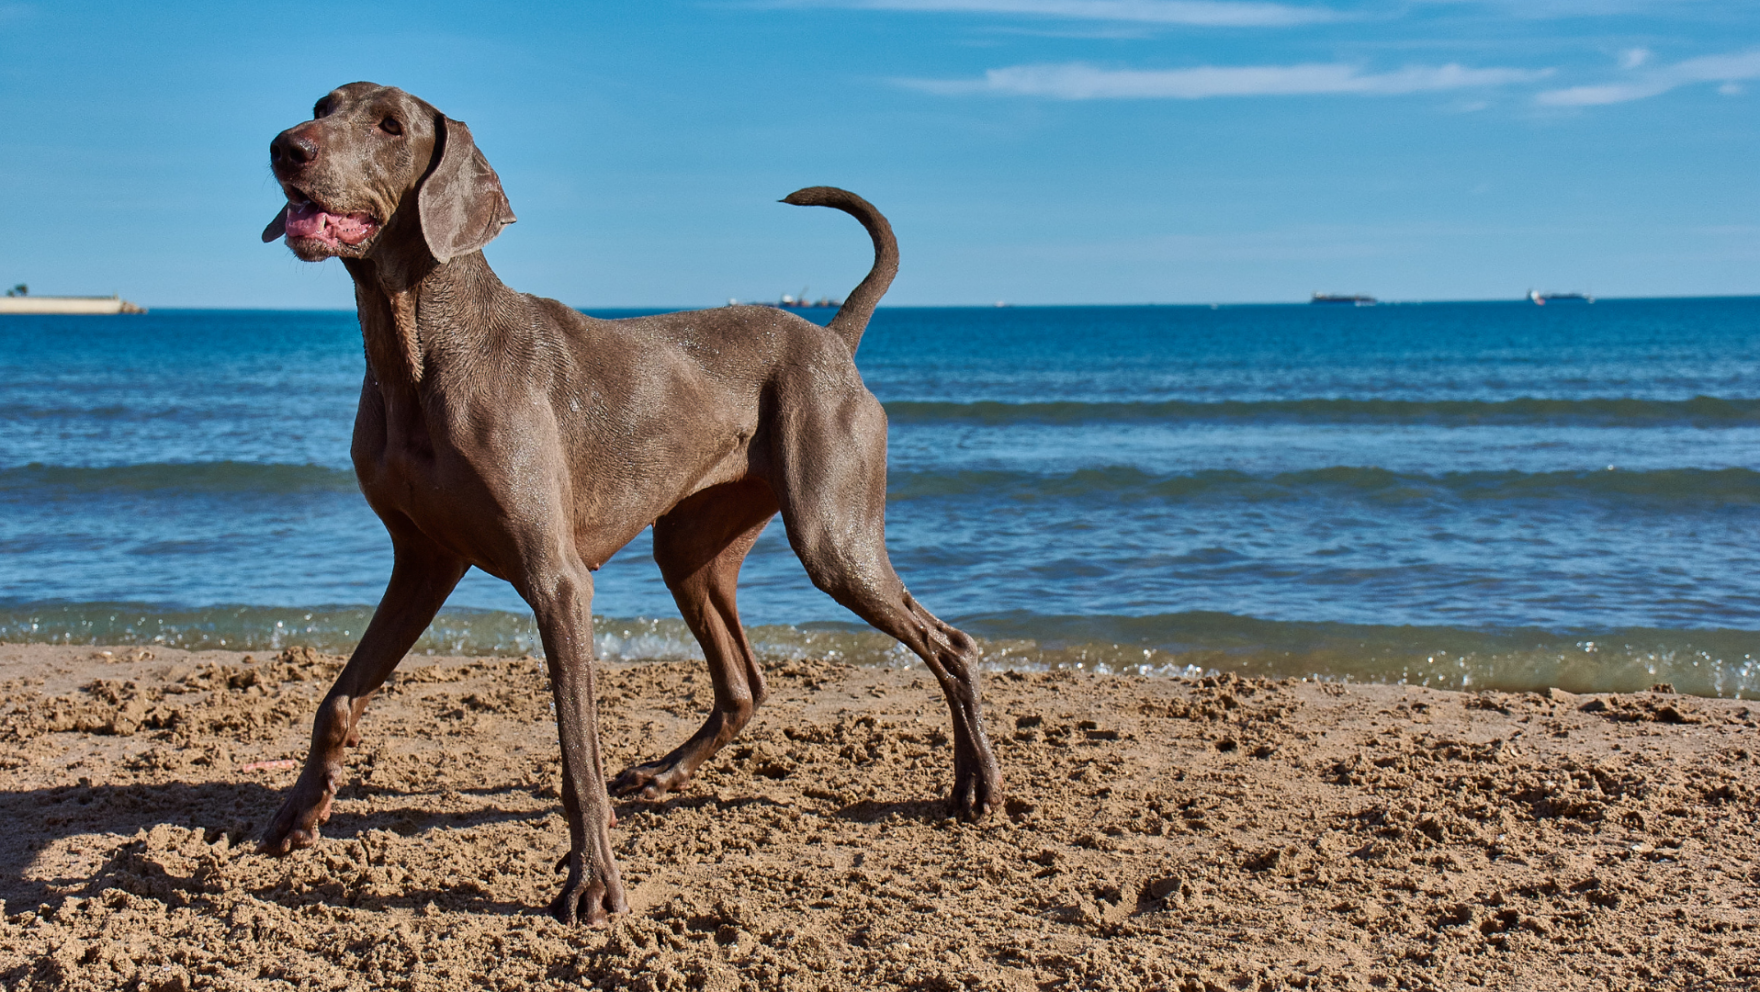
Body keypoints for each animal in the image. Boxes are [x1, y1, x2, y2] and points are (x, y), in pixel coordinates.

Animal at [258, 81, 1006, 928]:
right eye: (323, 104)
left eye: (389, 125)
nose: (287, 147)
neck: (418, 348)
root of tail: (830, 339)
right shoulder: (422, 561)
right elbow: (337, 698)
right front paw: (297, 813)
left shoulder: (556, 581)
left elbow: (577, 753)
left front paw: (591, 883)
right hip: (690, 549)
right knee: (743, 684)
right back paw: (664, 774)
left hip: (830, 535)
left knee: (950, 644)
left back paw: (976, 785)